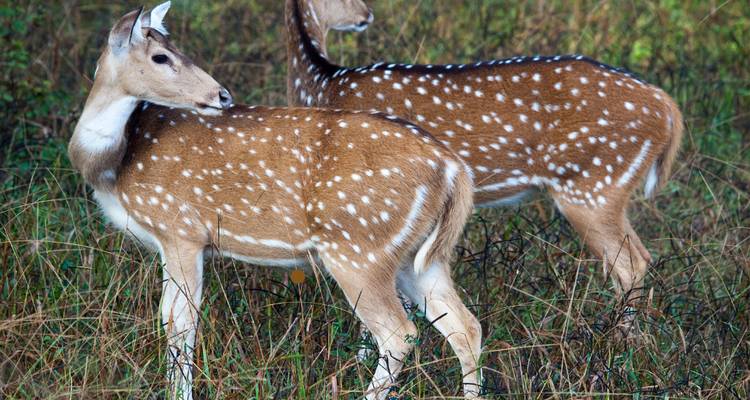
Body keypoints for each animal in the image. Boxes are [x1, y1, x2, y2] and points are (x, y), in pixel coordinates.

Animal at [70, 3, 483, 399]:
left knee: (401, 333)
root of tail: (454, 172)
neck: (115, 166)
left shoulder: (180, 228)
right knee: (466, 326)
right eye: (161, 56)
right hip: (418, 257)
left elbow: (180, 321)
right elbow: (172, 318)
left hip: (359, 249)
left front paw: (179, 392)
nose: (222, 95)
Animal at [285, 0, 684, 333]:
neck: (323, 86)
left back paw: (619, 343)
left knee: (629, 265)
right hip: (608, 192)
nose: (366, 15)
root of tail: (667, 107)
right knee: (642, 256)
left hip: (592, 186)